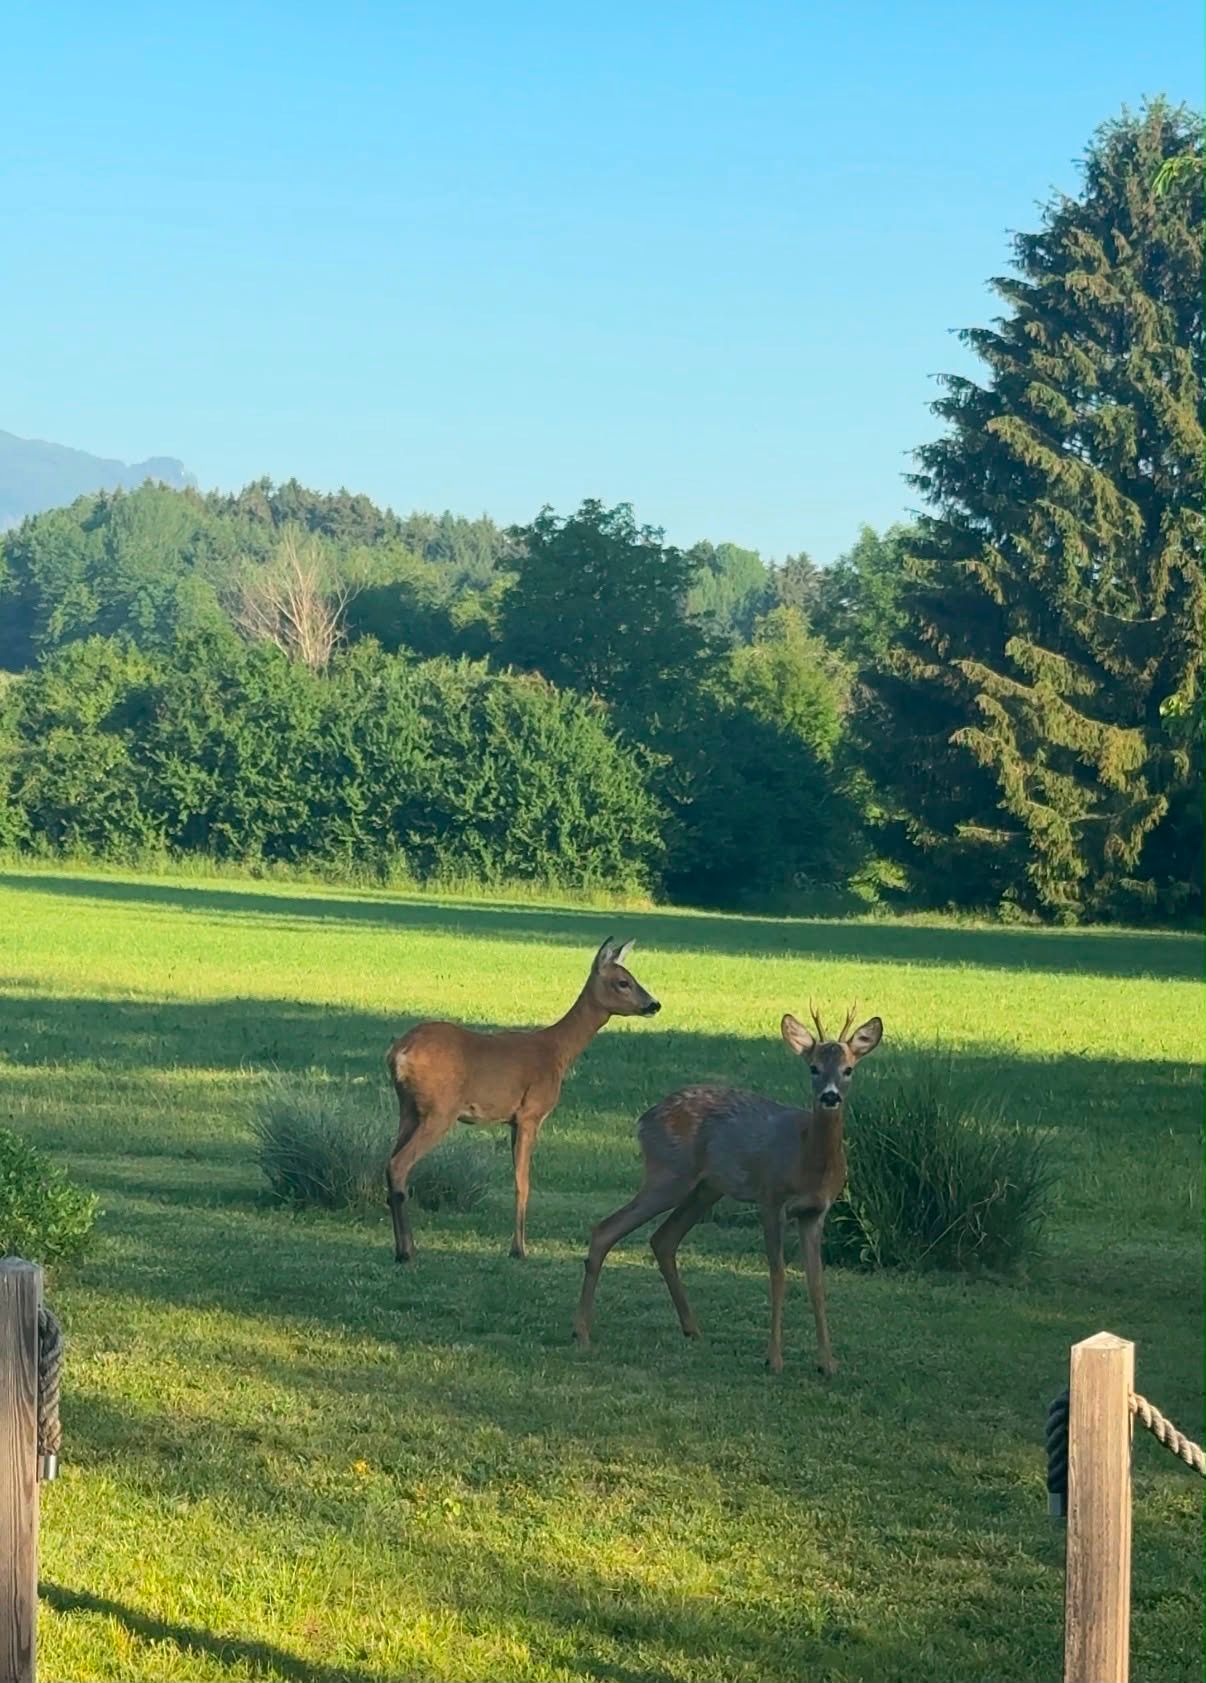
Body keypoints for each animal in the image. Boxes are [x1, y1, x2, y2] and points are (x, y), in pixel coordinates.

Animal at [385, 937, 661, 1263]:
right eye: (623, 982)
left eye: (632, 977)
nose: (654, 1004)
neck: (557, 1052)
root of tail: (399, 1053)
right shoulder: (531, 1114)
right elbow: (523, 1183)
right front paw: (519, 1249)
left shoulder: (513, 1122)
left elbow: (518, 1179)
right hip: (440, 1110)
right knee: (399, 1164)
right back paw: (406, 1252)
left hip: (408, 1108)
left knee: (389, 1164)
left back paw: (404, 1246)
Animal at [572, 1002, 882, 1375]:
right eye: (814, 1068)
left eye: (848, 1069)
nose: (831, 1096)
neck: (805, 1157)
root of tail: (643, 1119)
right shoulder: (770, 1197)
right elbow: (778, 1274)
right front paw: (774, 1358)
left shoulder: (816, 1210)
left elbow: (816, 1282)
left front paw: (828, 1363)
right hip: (669, 1174)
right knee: (606, 1229)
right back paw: (582, 1332)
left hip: (706, 1187)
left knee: (663, 1239)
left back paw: (691, 1328)